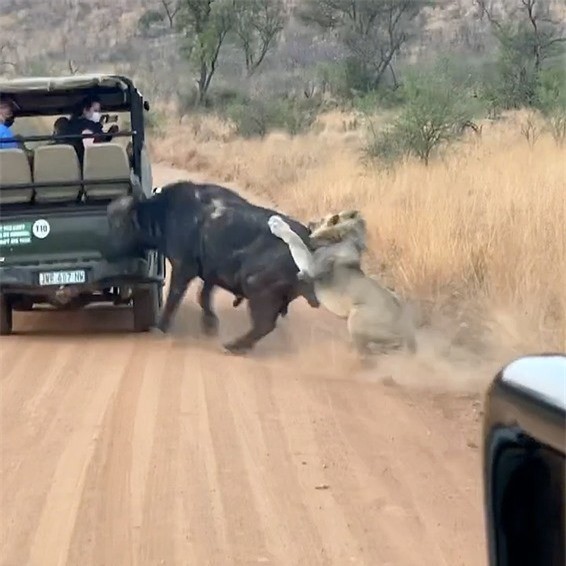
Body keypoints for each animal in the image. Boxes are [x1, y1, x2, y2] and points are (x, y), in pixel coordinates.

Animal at [106, 181, 320, 356]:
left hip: (256, 286)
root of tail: (310, 245)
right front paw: (209, 324)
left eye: (118, 222)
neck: (163, 213)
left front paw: (160, 327)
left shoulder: (183, 268)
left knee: (264, 324)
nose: (106, 247)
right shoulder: (211, 271)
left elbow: (174, 297)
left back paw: (234, 346)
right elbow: (204, 294)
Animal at [266, 211, 418, 358]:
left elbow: (296, 240)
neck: (342, 238)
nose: (310, 222)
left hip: (357, 317)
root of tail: (406, 328)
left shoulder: (311, 268)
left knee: (373, 349)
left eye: (322, 220)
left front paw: (277, 225)